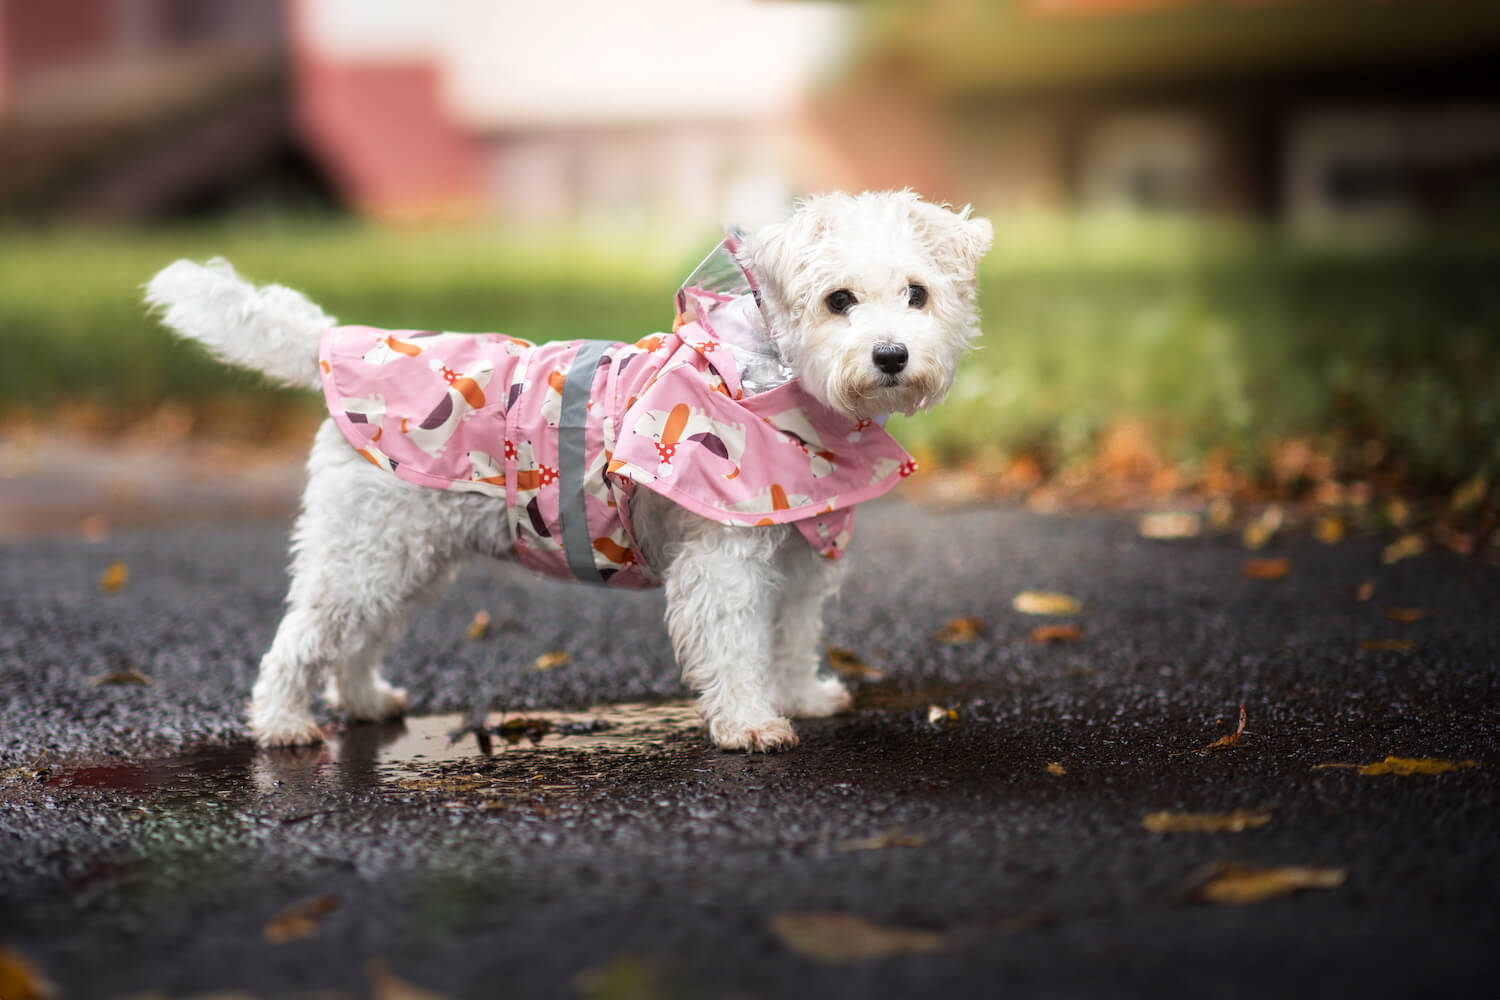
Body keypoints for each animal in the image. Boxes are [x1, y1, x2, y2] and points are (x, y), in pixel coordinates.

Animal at [146, 189, 990, 749]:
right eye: (838, 300)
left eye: (917, 295)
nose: (891, 355)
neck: (771, 385)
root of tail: (334, 344)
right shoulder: (723, 563)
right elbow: (735, 645)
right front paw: (751, 723)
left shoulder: (796, 555)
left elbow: (788, 637)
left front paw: (801, 697)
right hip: (364, 556)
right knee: (300, 640)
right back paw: (282, 724)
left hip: (403, 559)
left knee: (355, 642)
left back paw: (365, 701)